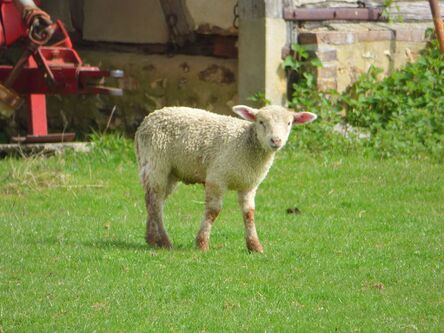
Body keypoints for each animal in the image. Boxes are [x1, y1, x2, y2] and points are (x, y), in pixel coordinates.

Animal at [134, 105, 316, 250]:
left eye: (289, 123)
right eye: (261, 122)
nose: (276, 140)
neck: (246, 144)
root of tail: (146, 121)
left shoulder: (249, 185)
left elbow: (249, 213)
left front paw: (255, 246)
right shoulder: (217, 178)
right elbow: (213, 211)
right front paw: (202, 243)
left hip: (171, 172)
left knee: (154, 200)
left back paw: (152, 238)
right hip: (156, 163)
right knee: (155, 202)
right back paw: (164, 241)